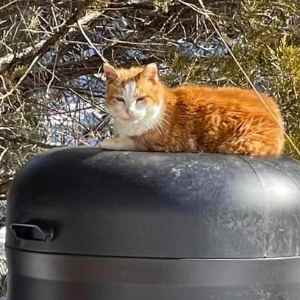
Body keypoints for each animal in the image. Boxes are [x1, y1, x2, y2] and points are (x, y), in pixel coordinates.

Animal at [102, 63, 284, 157]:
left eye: (140, 99)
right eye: (120, 99)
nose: (129, 111)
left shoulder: (165, 142)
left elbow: (133, 141)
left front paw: (110, 141)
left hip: (236, 143)